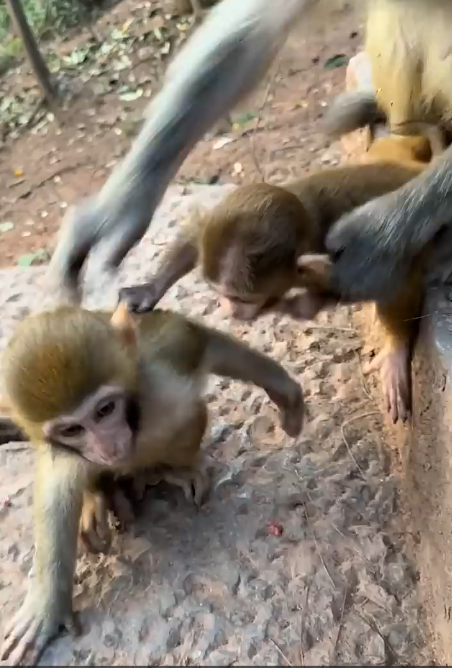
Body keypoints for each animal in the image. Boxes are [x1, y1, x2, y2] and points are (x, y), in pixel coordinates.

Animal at [0, 302, 302, 665]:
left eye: (105, 409)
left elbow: (201, 345)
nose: (108, 447)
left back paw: (163, 470)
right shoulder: (62, 448)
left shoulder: (161, 362)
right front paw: (46, 603)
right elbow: (55, 495)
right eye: (72, 430)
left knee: (188, 414)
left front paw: (282, 387)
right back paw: (102, 496)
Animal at [118, 133, 432, 424]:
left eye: (238, 298)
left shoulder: (354, 253)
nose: (228, 309)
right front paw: (149, 290)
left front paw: (395, 349)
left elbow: (392, 281)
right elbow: (197, 232)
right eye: (220, 293)